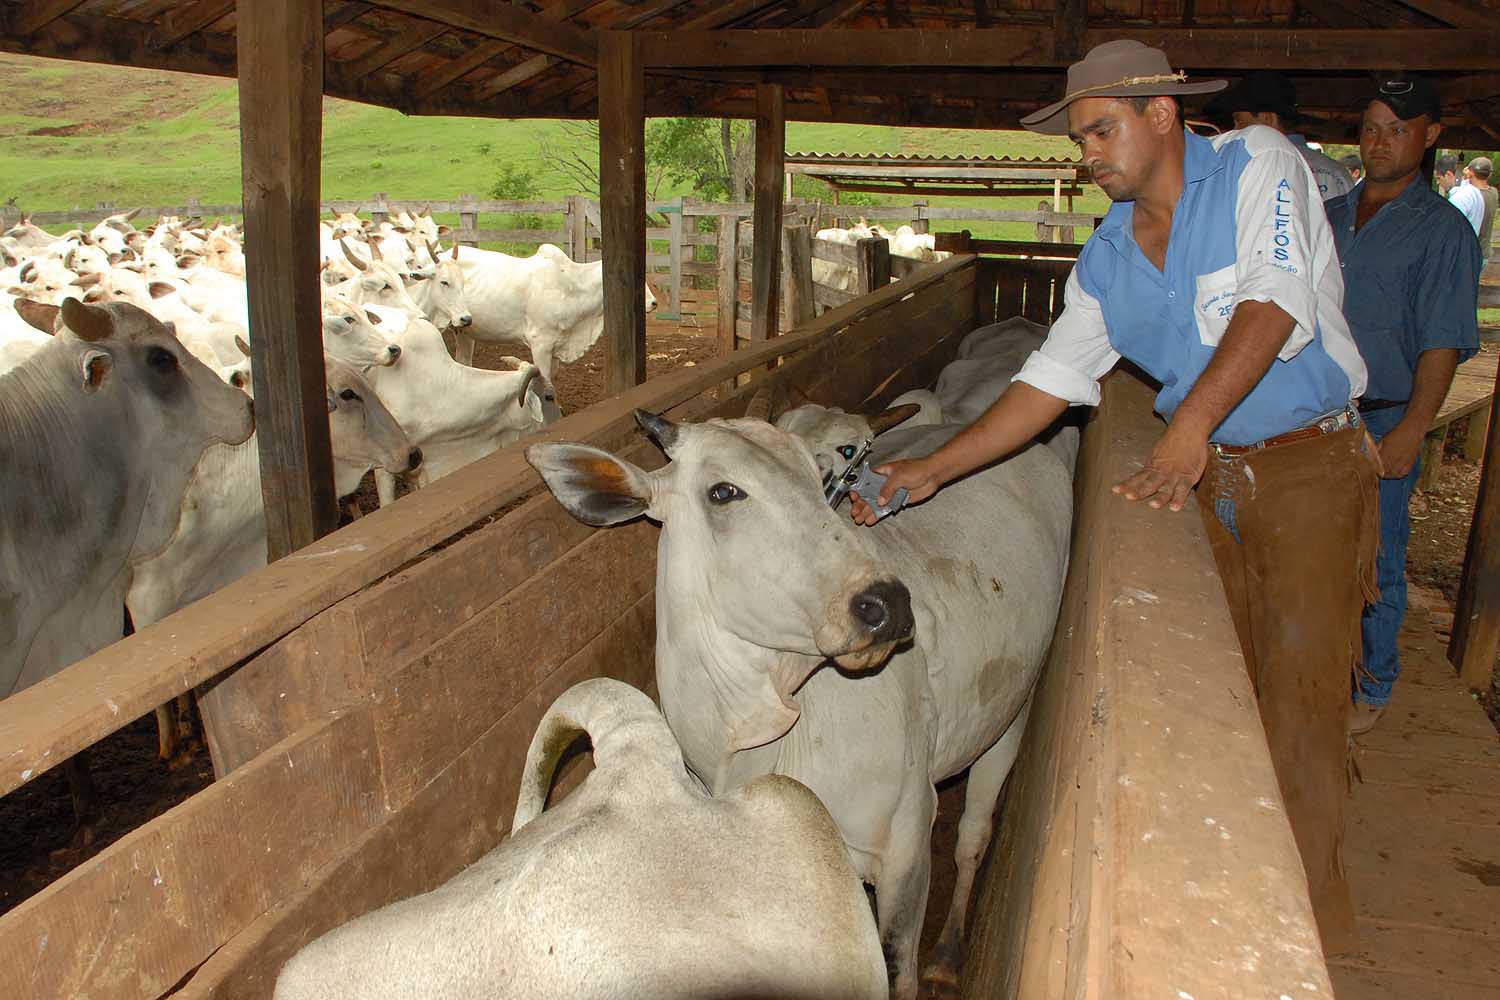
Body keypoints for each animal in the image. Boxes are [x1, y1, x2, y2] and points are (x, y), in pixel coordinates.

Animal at [534, 350, 1074, 995]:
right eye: (723, 491)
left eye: (824, 483)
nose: (887, 603)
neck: (744, 739)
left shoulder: (907, 845)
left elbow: (898, 966)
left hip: (1012, 709)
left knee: (973, 834)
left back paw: (948, 950)